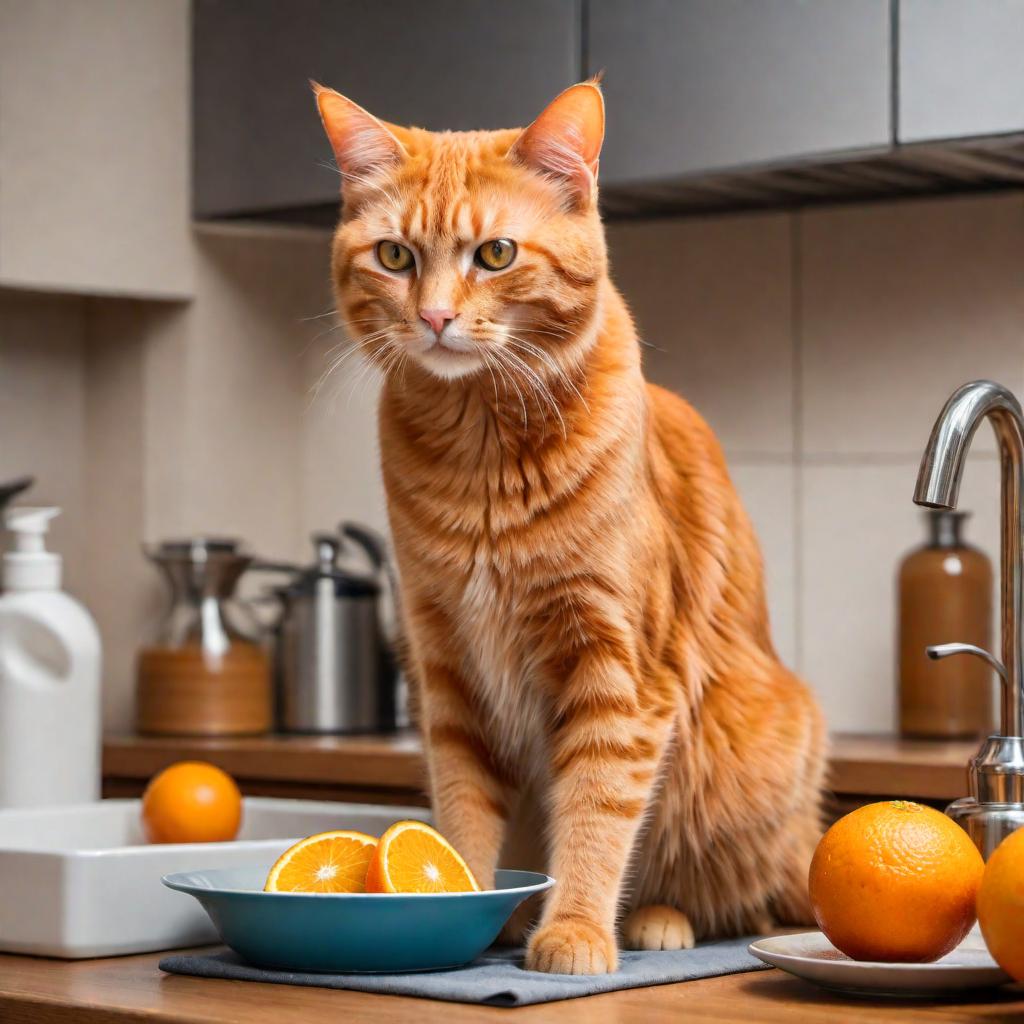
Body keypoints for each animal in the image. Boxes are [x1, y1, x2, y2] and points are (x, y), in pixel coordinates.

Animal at [315, 81, 827, 974]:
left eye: (495, 255)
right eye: (395, 258)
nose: (435, 317)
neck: (480, 458)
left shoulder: (618, 672)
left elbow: (596, 811)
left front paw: (578, 930)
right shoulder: (447, 670)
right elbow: (462, 811)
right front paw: (455, 905)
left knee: (739, 899)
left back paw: (656, 919)